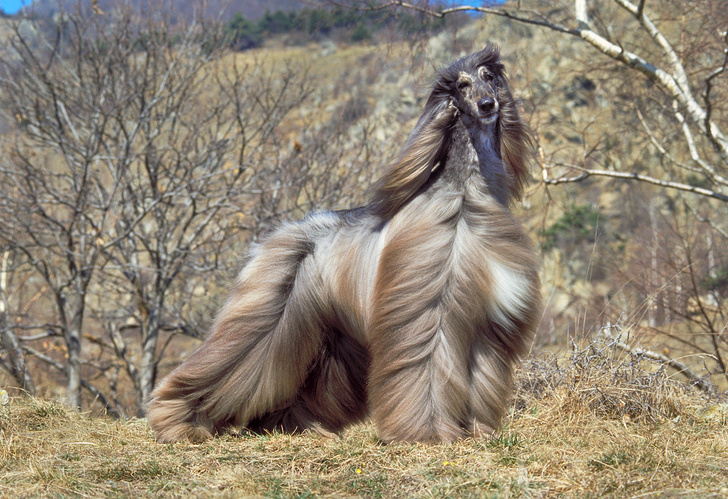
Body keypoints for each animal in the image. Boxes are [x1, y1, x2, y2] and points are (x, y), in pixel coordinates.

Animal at [146, 46, 540, 446]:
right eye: (462, 84)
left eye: (488, 77)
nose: (488, 104)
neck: (465, 197)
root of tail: (282, 232)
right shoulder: (429, 309)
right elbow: (425, 367)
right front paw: (426, 432)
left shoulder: (489, 322)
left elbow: (481, 379)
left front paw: (479, 432)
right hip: (270, 310)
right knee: (236, 360)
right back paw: (179, 420)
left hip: (331, 334)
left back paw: (296, 426)